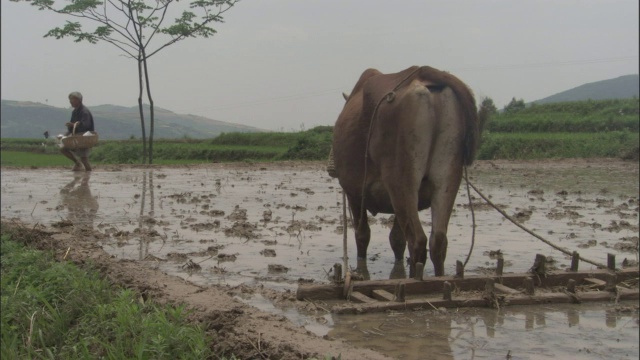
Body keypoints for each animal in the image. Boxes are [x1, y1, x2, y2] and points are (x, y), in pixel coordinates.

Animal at [336, 65, 480, 276]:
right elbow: (397, 239)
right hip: (448, 176)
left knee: (417, 240)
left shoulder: (354, 192)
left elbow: (362, 235)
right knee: (438, 240)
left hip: (401, 181)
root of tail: (424, 73)